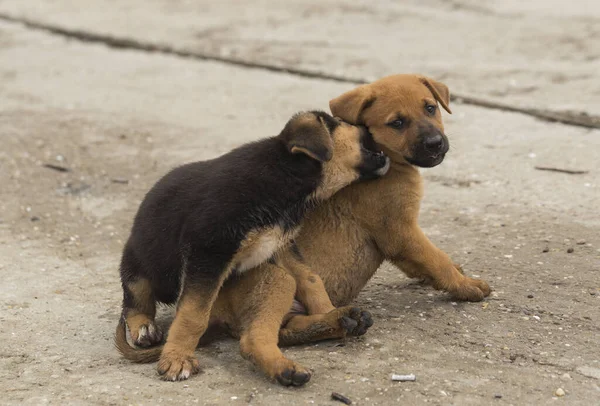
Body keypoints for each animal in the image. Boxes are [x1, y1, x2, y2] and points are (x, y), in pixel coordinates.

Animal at [116, 110, 390, 380]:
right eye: (343, 122)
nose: (369, 123)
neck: (286, 176)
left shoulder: (280, 244)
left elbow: (311, 279)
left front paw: (330, 310)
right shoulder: (208, 251)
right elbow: (193, 313)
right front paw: (177, 358)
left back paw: (337, 323)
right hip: (136, 264)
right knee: (135, 302)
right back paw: (145, 327)